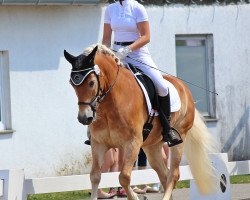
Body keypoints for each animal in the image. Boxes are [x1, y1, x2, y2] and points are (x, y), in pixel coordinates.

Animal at [65, 44, 219, 200]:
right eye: (72, 84)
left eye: (91, 83)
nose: (84, 118)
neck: (111, 102)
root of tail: (184, 87)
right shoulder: (98, 143)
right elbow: (95, 176)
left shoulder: (132, 143)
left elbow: (124, 177)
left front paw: (134, 196)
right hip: (152, 146)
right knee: (164, 174)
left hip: (179, 139)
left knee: (174, 174)